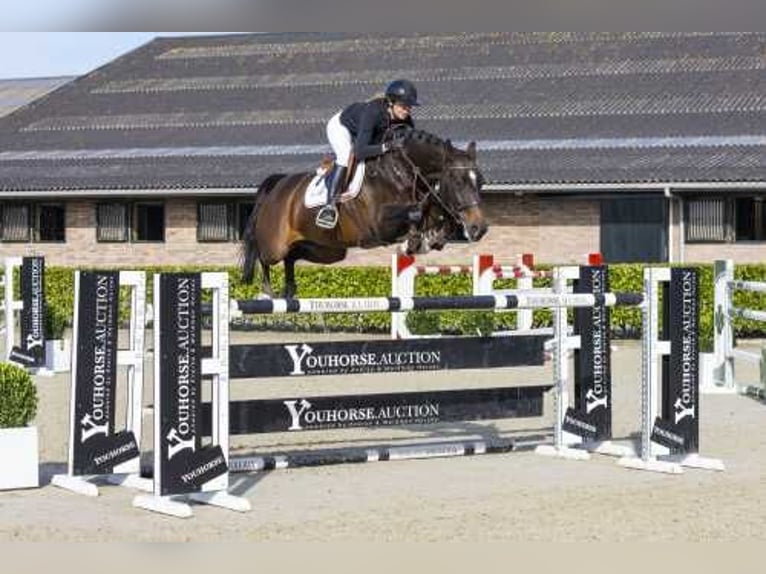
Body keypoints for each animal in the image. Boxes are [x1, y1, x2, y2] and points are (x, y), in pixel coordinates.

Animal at [243, 130, 488, 300]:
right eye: (458, 181)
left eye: (481, 181)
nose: (480, 228)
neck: (400, 171)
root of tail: (278, 185)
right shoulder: (378, 225)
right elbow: (416, 212)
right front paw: (412, 242)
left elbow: (435, 216)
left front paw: (429, 239)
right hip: (276, 244)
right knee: (265, 257)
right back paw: (266, 292)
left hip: (327, 250)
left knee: (292, 257)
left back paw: (289, 290)